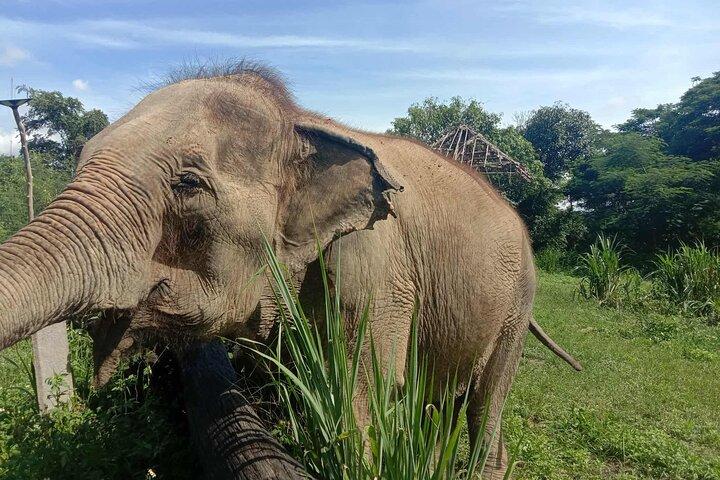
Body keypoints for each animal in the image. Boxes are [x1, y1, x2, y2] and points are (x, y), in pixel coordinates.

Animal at [0, 62, 580, 479]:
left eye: (188, 184)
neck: (297, 122)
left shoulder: (375, 275)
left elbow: (363, 399)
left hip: (517, 305)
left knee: (485, 400)